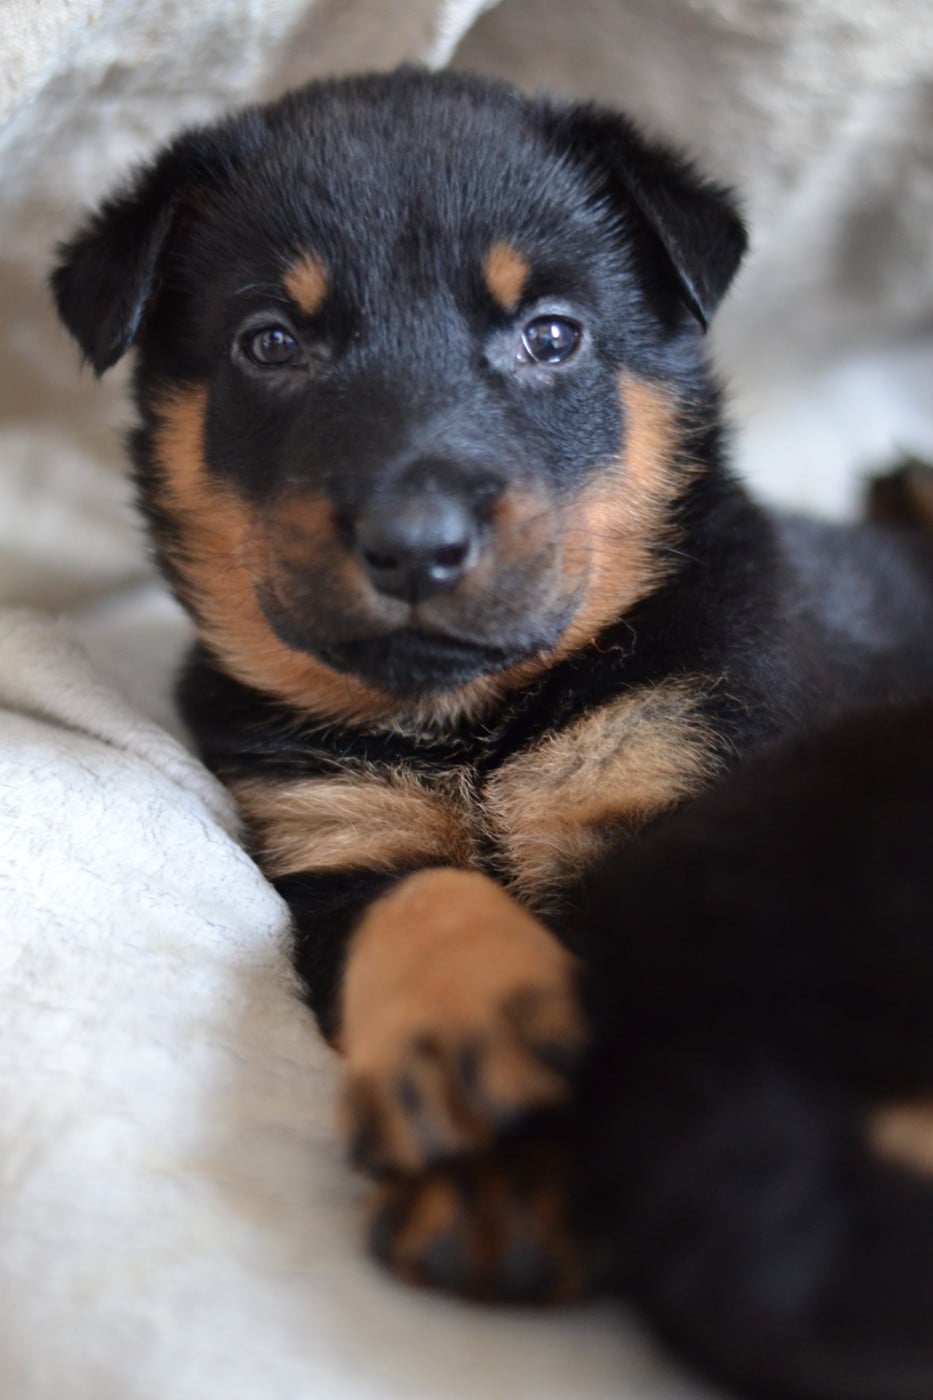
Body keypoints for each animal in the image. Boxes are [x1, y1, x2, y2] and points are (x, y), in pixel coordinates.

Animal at [52, 67, 933, 1399]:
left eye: (551, 335)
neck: (474, 728)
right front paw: (475, 1099)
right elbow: (425, 897)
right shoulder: (334, 841)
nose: (416, 543)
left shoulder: (684, 788)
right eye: (272, 342)